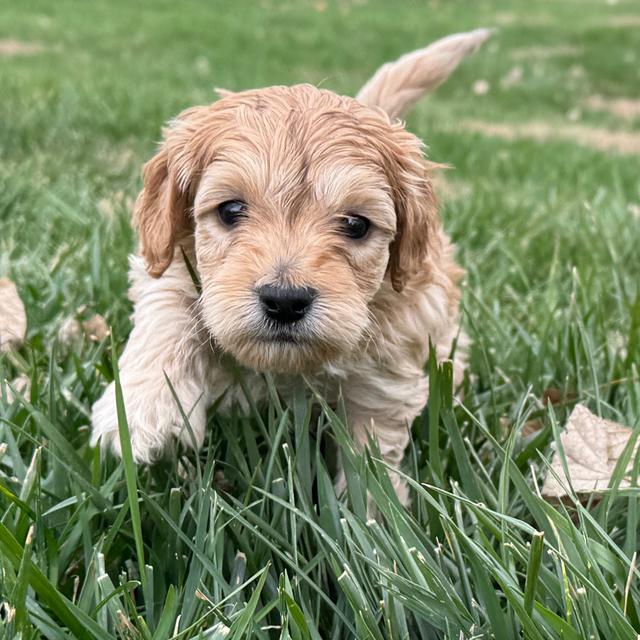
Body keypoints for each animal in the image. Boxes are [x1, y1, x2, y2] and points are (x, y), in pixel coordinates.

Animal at [91, 30, 490, 502]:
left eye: (356, 224)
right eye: (230, 210)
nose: (284, 301)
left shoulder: (389, 363)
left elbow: (370, 450)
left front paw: (371, 513)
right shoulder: (167, 259)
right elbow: (168, 307)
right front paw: (141, 408)